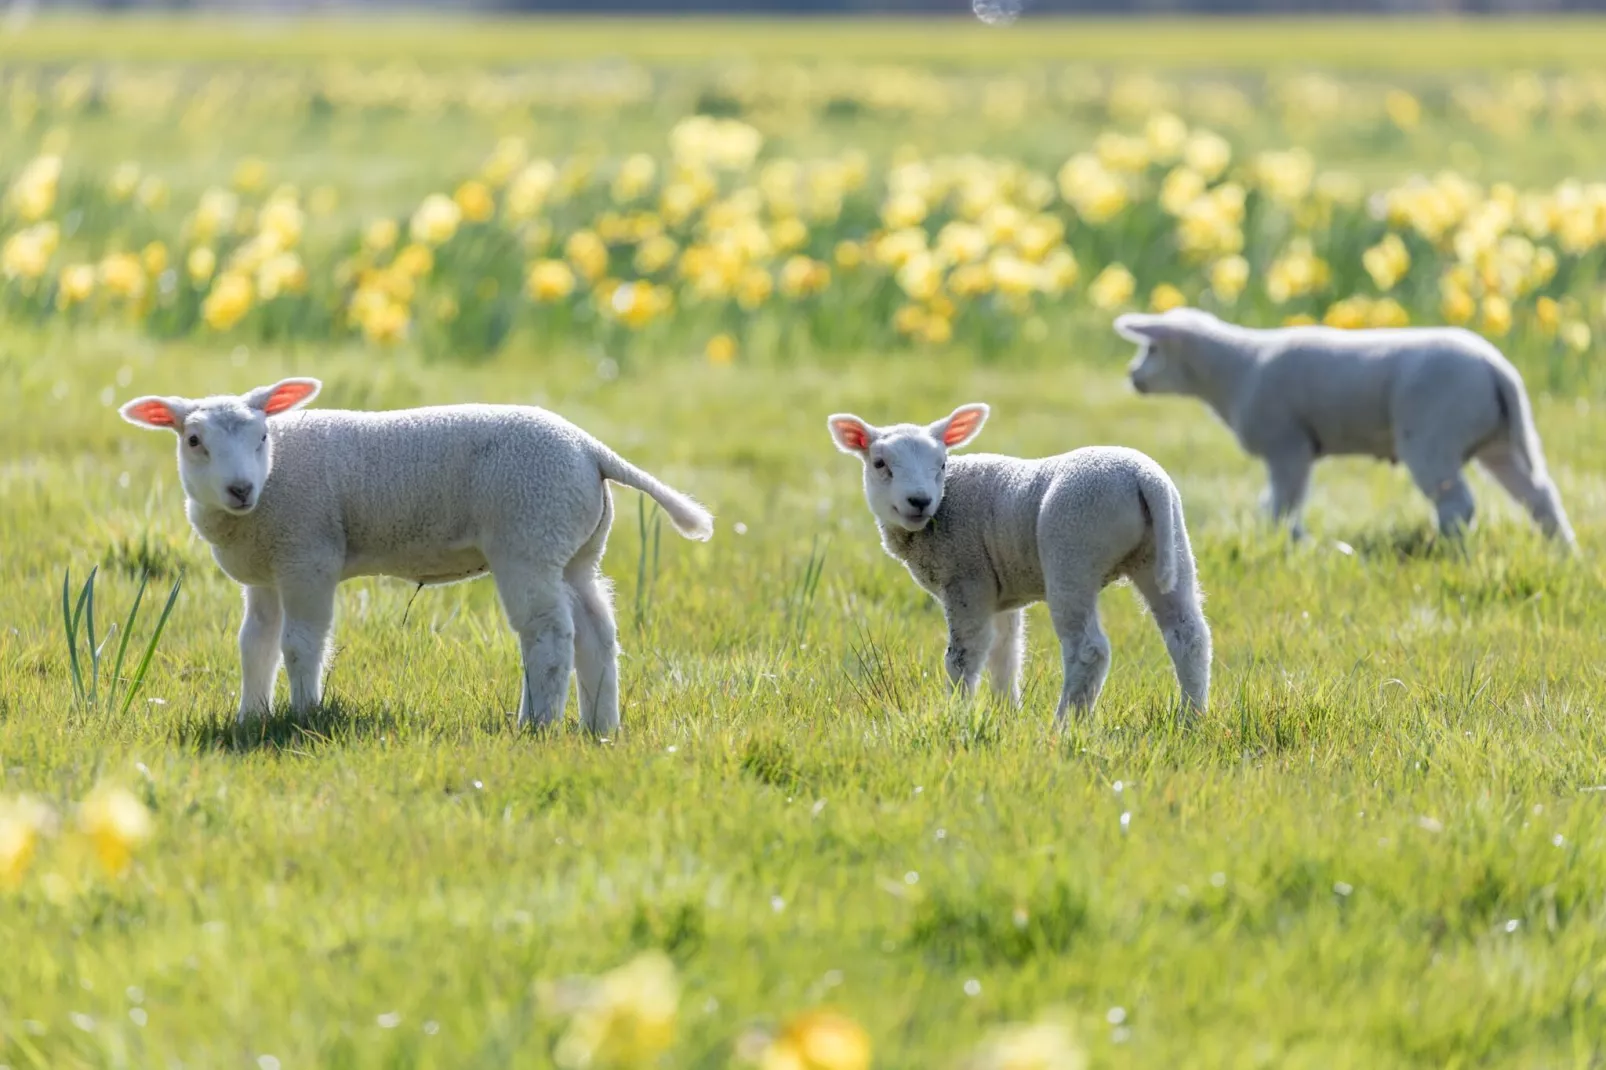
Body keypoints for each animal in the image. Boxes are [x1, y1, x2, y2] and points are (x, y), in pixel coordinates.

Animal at [116, 377, 713, 732]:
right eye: (194, 441)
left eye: (263, 436)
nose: (240, 489)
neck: (270, 486)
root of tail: (591, 450)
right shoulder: (265, 571)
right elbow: (254, 646)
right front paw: (250, 717)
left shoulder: (308, 553)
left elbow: (301, 644)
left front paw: (303, 713)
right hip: (575, 546)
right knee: (596, 629)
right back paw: (599, 727)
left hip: (529, 534)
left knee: (548, 633)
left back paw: (538, 724)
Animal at [828, 404, 1207, 719]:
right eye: (880, 464)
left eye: (942, 464)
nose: (919, 501)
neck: (943, 506)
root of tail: (1144, 479)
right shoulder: (999, 593)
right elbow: (1005, 655)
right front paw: (1006, 713)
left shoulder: (967, 579)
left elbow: (964, 656)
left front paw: (957, 714)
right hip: (1167, 547)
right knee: (1188, 636)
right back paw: (1191, 719)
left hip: (1072, 551)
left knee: (1089, 650)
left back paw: (1064, 724)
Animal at [1111, 306, 1573, 543]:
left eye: (1152, 349)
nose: (1132, 376)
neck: (1235, 369)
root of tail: (1498, 368)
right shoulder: (1292, 450)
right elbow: (1275, 502)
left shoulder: (1288, 446)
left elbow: (1283, 502)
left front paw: (1285, 542)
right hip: (1499, 443)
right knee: (1539, 495)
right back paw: (1562, 550)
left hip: (1432, 437)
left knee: (1458, 503)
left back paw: (1449, 549)